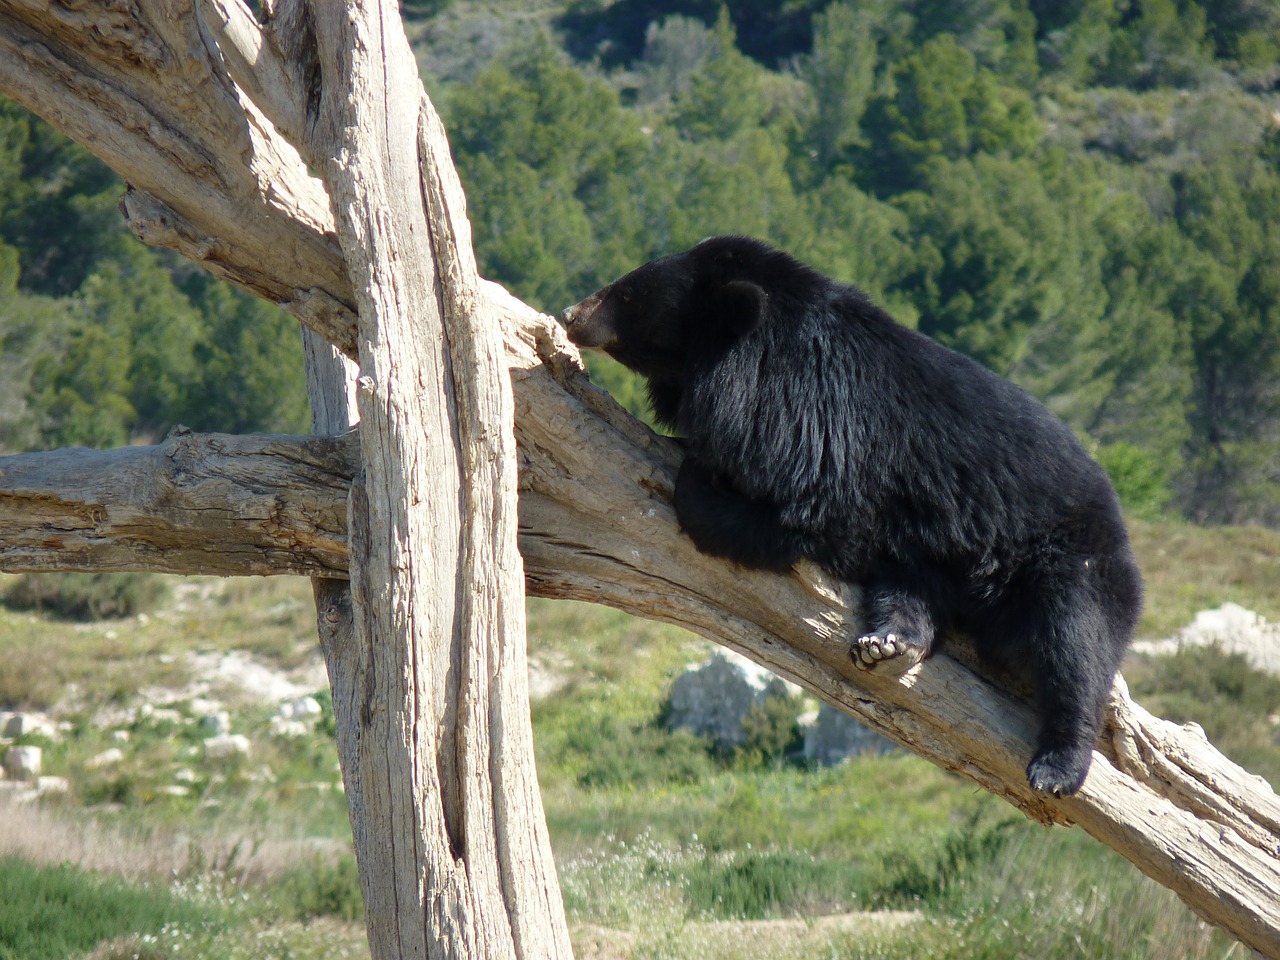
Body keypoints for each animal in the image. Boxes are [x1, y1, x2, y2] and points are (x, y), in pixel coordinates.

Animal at [565, 236, 1146, 798]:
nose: (571, 313)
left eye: (628, 294)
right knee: (914, 593)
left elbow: (801, 518)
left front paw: (698, 478)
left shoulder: (819, 434)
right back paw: (887, 644)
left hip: (1068, 561)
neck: (754, 364)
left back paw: (1056, 766)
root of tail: (1119, 523)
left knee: (1074, 648)